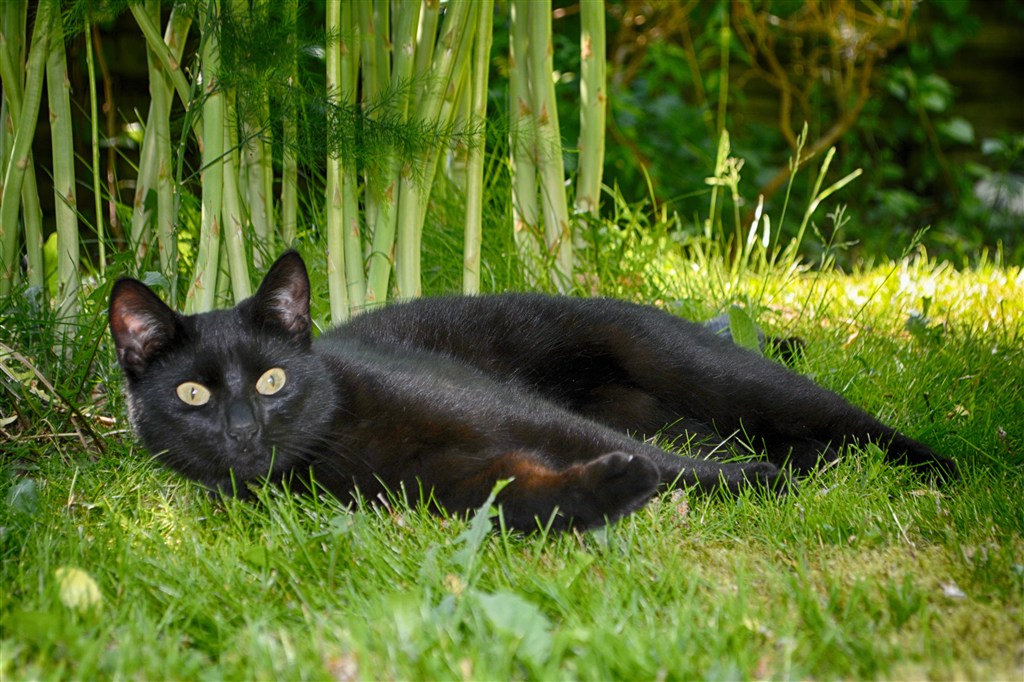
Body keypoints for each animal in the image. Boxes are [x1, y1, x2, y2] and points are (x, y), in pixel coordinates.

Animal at [108, 250, 954, 532]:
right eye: (193, 396)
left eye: (272, 379)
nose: (242, 428)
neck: (336, 440)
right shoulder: (453, 480)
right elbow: (531, 499)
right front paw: (611, 492)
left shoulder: (514, 411)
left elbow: (639, 461)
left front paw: (752, 486)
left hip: (708, 371)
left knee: (840, 418)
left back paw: (939, 471)